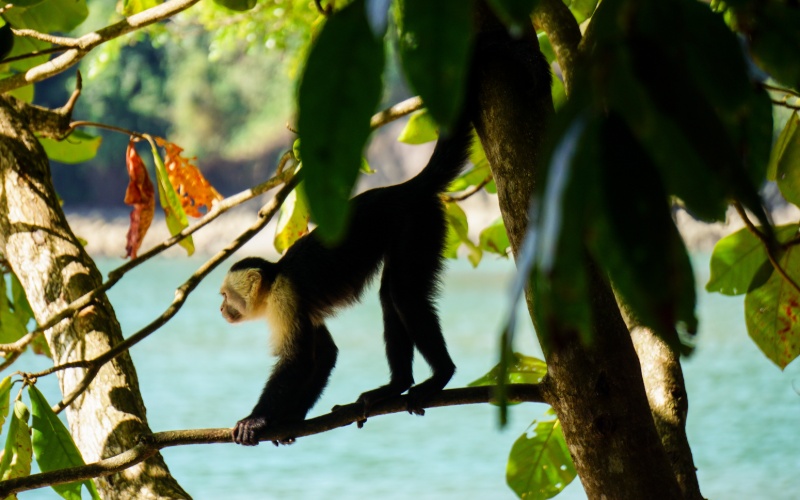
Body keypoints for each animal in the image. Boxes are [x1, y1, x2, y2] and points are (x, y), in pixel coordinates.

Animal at [219, 120, 472, 446]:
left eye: (225, 296)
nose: (221, 309)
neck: (273, 280)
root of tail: (403, 188)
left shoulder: (284, 297)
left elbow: (298, 361)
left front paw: (257, 420)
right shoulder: (297, 306)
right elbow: (325, 354)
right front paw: (289, 420)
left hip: (417, 222)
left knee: (403, 296)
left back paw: (441, 375)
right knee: (389, 296)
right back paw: (396, 385)